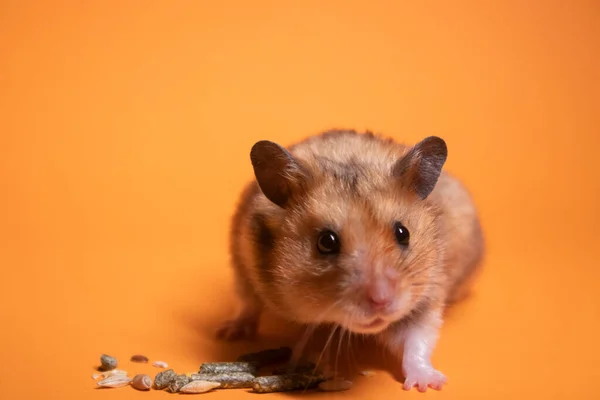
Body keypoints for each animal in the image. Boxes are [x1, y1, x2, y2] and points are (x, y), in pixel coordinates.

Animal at [218, 130, 486, 392]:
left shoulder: (426, 294)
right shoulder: (243, 263)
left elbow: (416, 339)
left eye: (403, 233)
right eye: (326, 242)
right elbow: (251, 304)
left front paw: (428, 385)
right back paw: (229, 332)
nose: (382, 301)